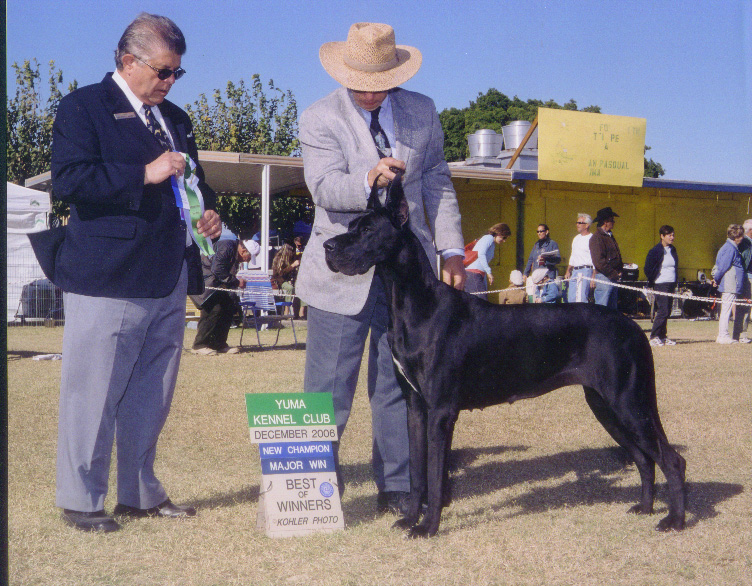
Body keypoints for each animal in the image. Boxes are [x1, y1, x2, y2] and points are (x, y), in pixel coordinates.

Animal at [323, 172, 686, 538]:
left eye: (368, 229)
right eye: (351, 224)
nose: (328, 247)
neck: (415, 304)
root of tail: (633, 327)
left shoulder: (441, 411)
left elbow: (435, 476)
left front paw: (428, 527)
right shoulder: (415, 407)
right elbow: (417, 473)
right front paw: (411, 518)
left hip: (627, 402)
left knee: (671, 459)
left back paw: (674, 520)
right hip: (605, 405)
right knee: (644, 458)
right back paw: (644, 507)